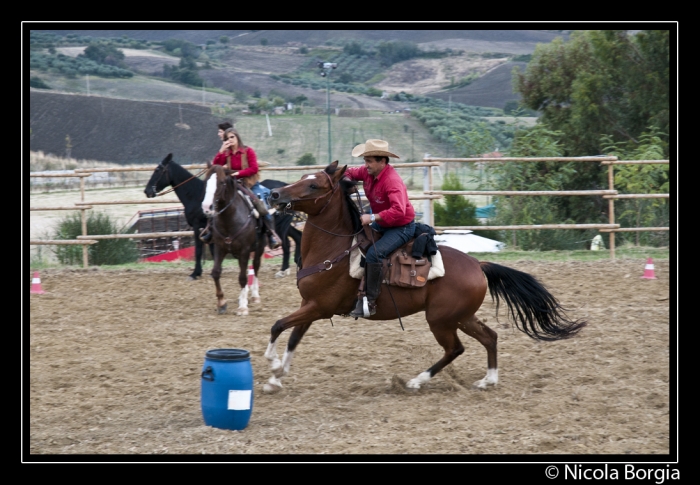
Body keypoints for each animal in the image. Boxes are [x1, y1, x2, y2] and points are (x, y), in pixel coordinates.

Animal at [202, 163, 268, 314]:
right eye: (205, 181)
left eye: (221, 182)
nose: (207, 207)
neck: (229, 219)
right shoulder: (220, 248)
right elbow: (216, 273)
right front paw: (221, 303)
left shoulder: (245, 250)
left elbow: (243, 277)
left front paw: (243, 306)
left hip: (259, 247)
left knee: (255, 266)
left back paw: (254, 295)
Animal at [266, 163, 588, 394]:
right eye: (301, 177)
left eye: (313, 184)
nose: (274, 195)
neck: (336, 248)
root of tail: (477, 264)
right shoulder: (310, 305)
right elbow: (293, 336)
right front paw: (277, 377)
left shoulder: (320, 307)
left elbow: (278, 325)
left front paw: (271, 363)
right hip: (461, 316)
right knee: (489, 336)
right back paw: (488, 381)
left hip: (440, 320)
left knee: (455, 348)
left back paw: (416, 381)